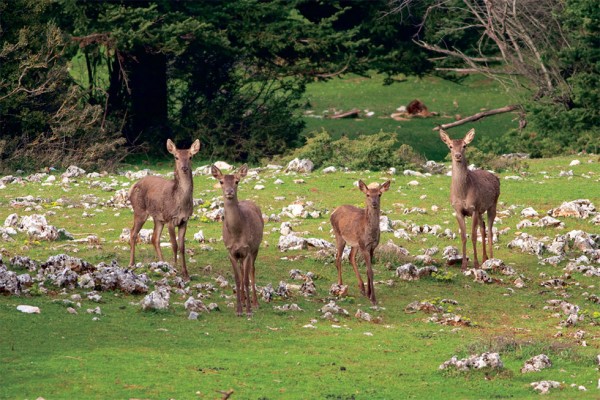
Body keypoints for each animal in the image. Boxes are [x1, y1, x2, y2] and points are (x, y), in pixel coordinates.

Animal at [127, 139, 200, 280]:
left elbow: (182, 247)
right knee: (133, 233)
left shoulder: (184, 220)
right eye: (176, 157)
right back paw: (131, 264)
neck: (180, 203)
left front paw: (186, 274)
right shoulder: (170, 218)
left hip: (158, 218)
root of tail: (133, 186)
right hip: (139, 210)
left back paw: (162, 263)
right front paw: (175, 269)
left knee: (154, 238)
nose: (184, 168)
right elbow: (174, 245)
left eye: (190, 157)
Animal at [213, 164, 264, 318]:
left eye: (237, 181)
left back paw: (255, 302)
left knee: (252, 270)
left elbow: (246, 279)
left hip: (255, 248)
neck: (236, 234)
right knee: (242, 272)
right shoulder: (231, 251)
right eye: (221, 181)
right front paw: (238, 309)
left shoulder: (247, 250)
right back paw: (242, 298)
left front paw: (248, 310)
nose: (229, 192)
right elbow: (237, 279)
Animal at [440, 129, 502, 272]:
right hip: (480, 210)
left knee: (490, 230)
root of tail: (496, 178)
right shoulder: (458, 210)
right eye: (450, 146)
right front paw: (463, 265)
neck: (462, 193)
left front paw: (475, 264)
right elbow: (463, 236)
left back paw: (491, 259)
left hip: (493, 204)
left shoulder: (473, 208)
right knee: (483, 226)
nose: (457, 155)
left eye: (465, 146)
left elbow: (473, 236)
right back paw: (485, 258)